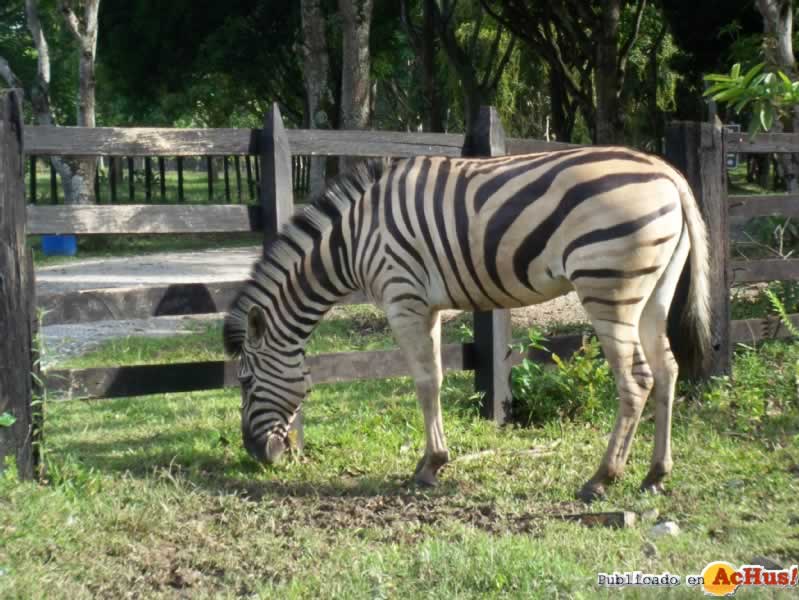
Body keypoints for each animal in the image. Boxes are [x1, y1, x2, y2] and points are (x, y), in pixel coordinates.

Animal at [222, 146, 708, 502]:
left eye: (245, 381)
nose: (255, 454)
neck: (351, 242)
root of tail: (668, 173)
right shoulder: (429, 305)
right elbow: (435, 377)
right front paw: (430, 462)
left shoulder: (402, 298)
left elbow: (425, 381)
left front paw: (429, 467)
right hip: (654, 291)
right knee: (667, 369)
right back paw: (655, 474)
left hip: (607, 285)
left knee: (636, 380)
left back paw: (601, 478)